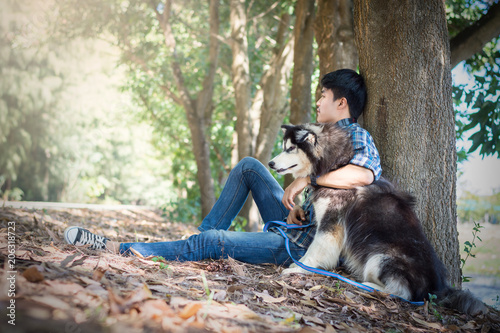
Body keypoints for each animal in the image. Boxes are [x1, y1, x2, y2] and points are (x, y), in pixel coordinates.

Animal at [268, 122, 486, 314]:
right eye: (284, 147)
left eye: (290, 149)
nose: (270, 163)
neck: (335, 167)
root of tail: (437, 289)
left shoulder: (331, 225)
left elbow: (315, 250)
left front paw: (298, 268)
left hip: (379, 258)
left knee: (401, 293)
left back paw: (366, 285)